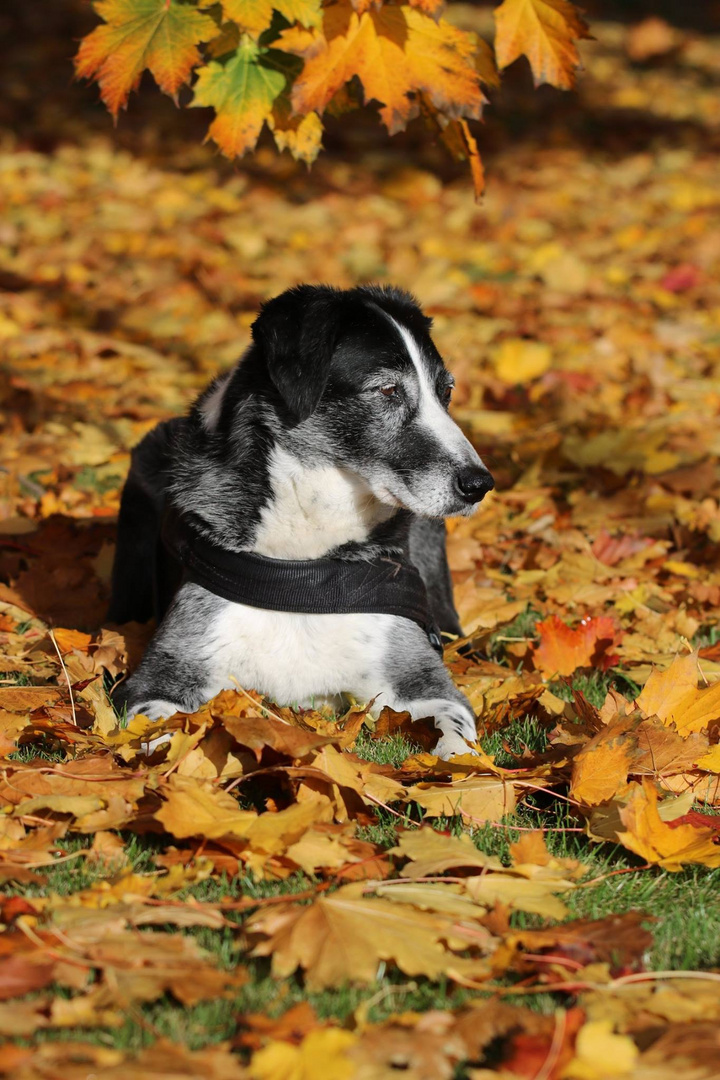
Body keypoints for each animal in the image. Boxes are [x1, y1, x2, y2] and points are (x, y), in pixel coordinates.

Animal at [110, 287, 496, 760]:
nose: (480, 484)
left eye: (446, 392)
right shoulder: (160, 677)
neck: (305, 564)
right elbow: (161, 736)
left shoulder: (423, 681)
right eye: (387, 389)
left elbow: (458, 741)